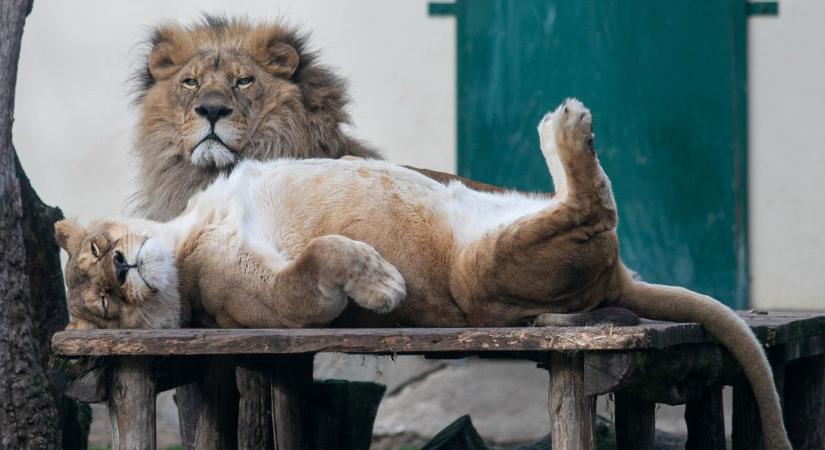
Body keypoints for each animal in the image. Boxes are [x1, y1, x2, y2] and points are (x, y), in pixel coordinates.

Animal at [58, 101, 792, 450]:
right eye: (105, 305)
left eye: (96, 249)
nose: (121, 269)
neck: (186, 233)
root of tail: (616, 286)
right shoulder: (273, 306)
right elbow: (320, 259)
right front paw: (384, 286)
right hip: (484, 271)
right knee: (590, 210)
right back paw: (565, 129)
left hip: (504, 215)